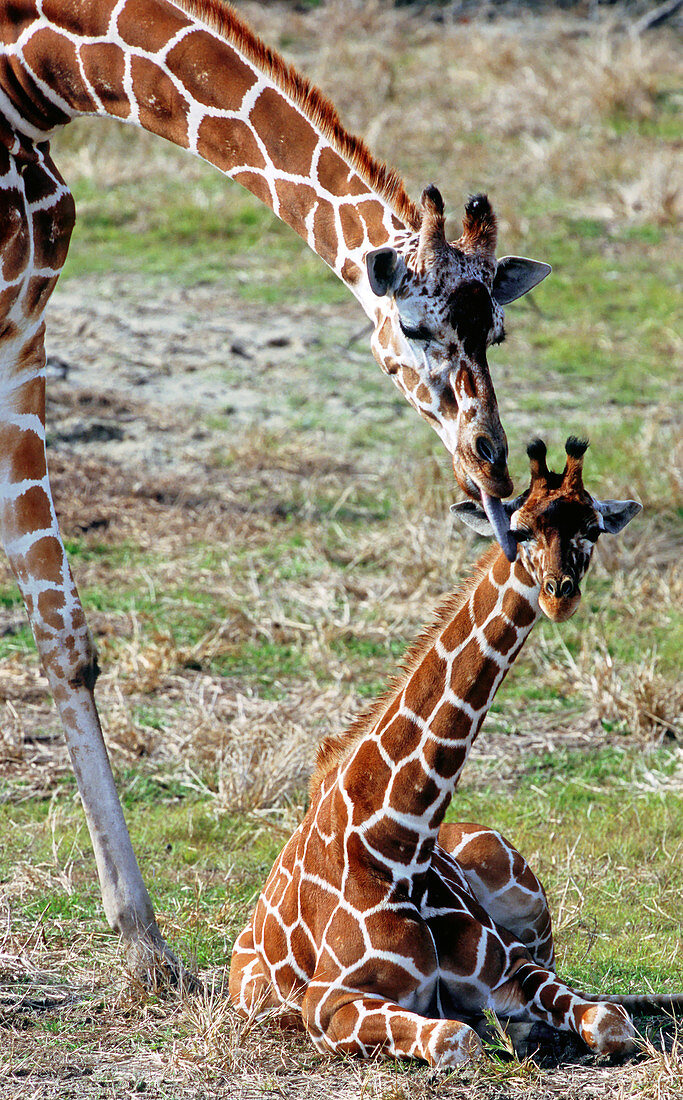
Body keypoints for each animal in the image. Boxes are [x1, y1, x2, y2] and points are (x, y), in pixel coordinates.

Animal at [0, 0, 547, 981]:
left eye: (498, 331)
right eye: (414, 326)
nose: (490, 462)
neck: (39, 70)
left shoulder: (22, 321)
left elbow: (62, 635)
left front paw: (144, 942)